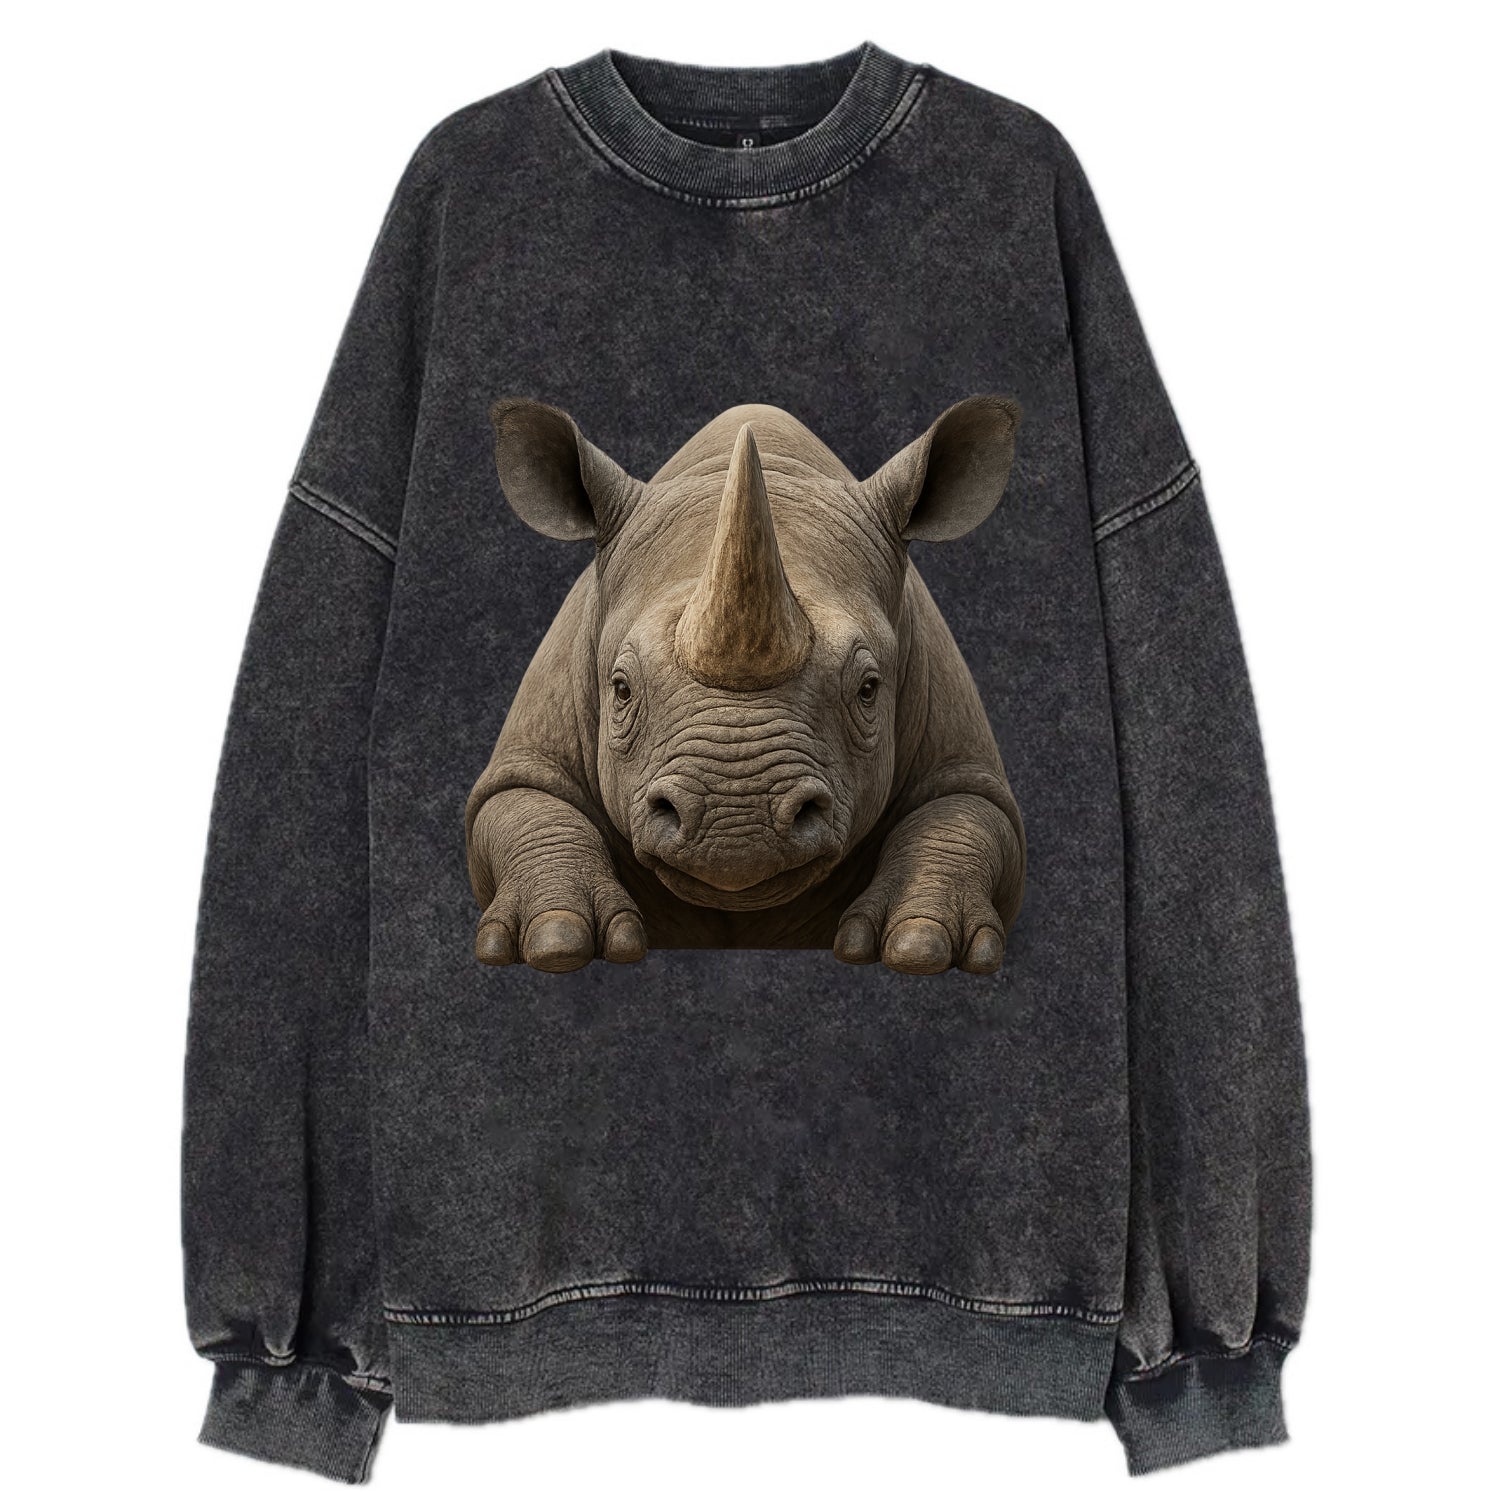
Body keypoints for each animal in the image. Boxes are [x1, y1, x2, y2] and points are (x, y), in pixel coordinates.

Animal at [464, 396, 1026, 976]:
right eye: (620, 689)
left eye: (869, 689)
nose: (736, 826)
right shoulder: (531, 750)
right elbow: (523, 803)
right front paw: (557, 940)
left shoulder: (959, 753)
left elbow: (964, 814)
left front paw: (920, 945)